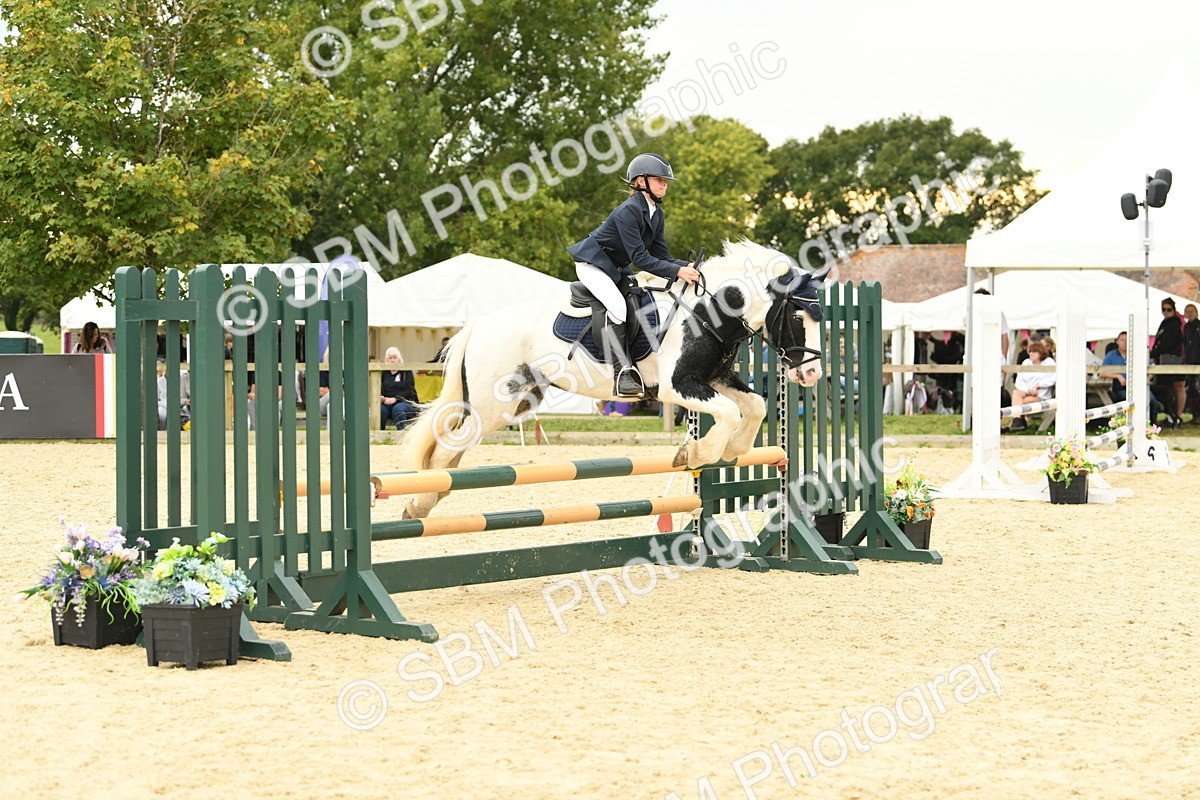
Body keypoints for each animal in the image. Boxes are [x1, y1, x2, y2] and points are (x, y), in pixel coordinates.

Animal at [395, 240, 827, 520]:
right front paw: (695, 454)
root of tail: (479, 325)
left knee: (452, 451)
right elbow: (729, 414)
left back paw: (429, 499)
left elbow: (754, 406)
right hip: (491, 404)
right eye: (796, 316)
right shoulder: (678, 386)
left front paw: (732, 449)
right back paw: (418, 504)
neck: (707, 311)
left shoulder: (715, 379)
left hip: (514, 403)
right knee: (445, 450)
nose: (811, 373)